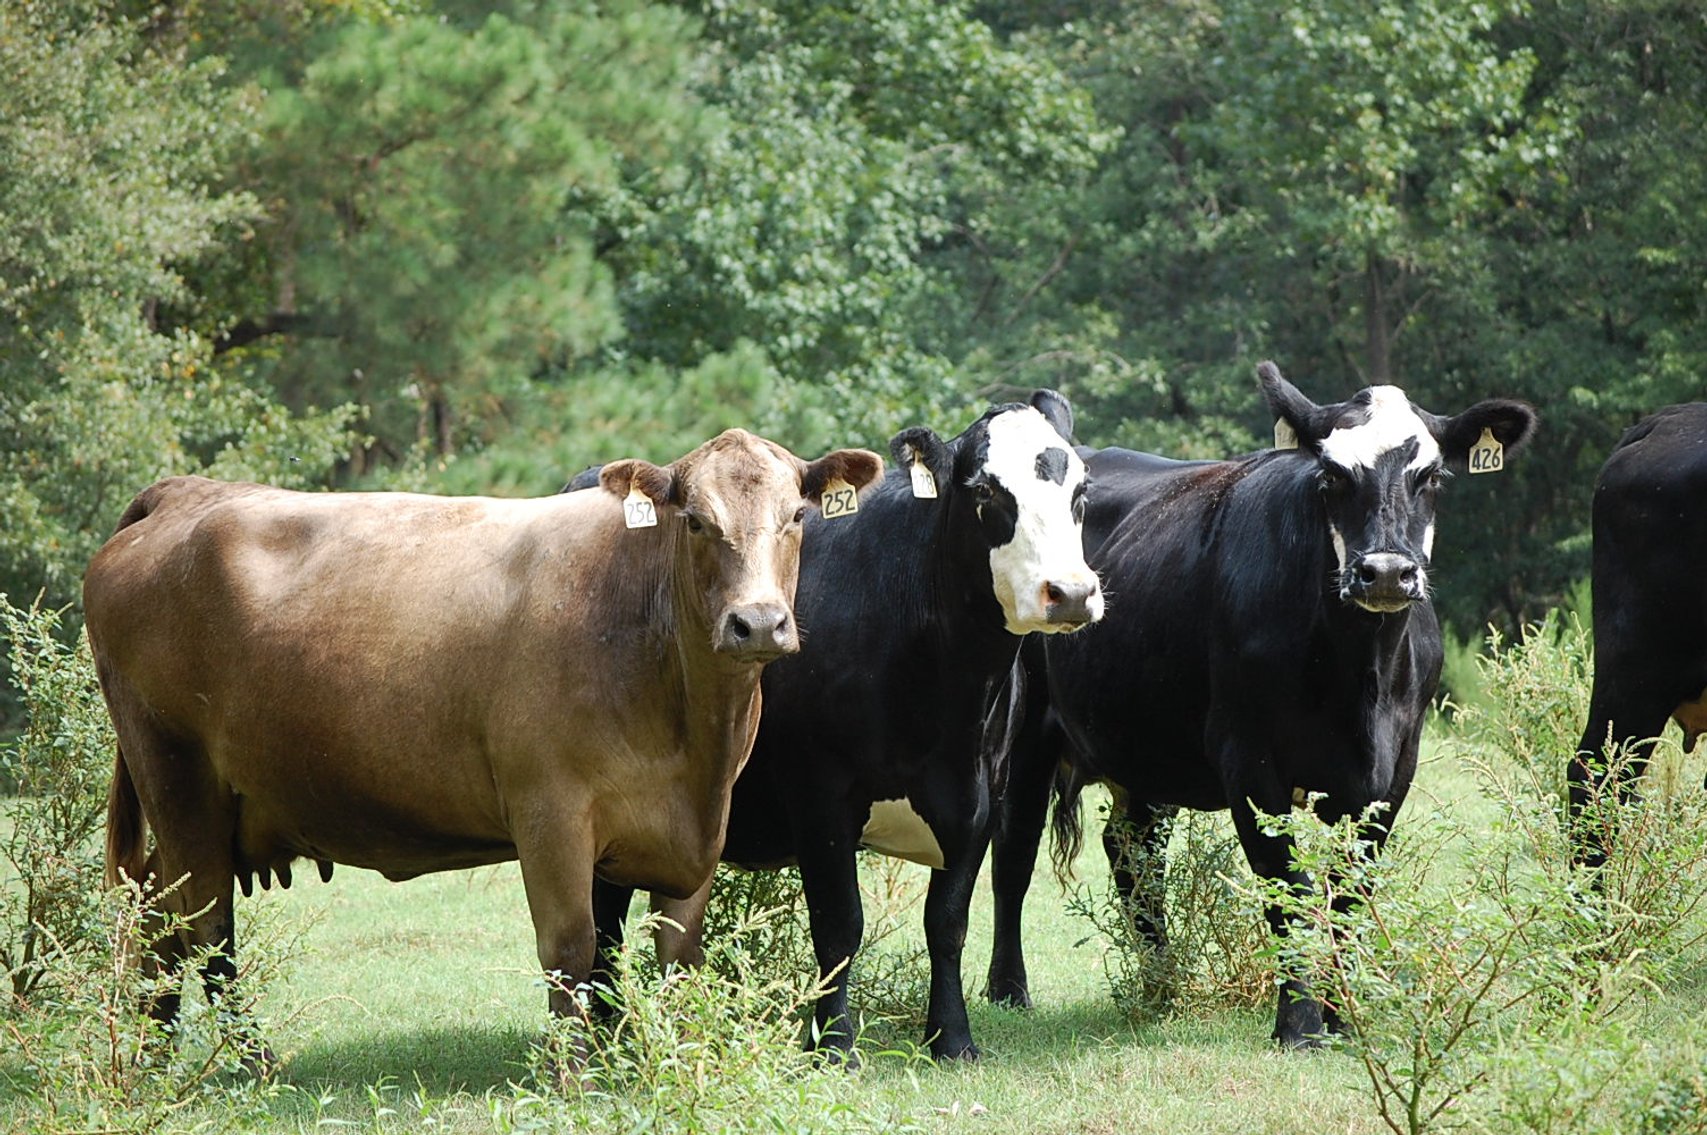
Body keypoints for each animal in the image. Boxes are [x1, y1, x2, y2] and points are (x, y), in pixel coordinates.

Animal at [83, 428, 883, 1043]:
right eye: (693, 520)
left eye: (797, 517)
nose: (757, 623)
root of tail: (189, 493)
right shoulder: (549, 811)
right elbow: (572, 949)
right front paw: (574, 1077)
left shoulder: (692, 831)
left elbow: (676, 955)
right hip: (176, 776)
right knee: (206, 931)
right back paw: (247, 1065)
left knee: (158, 917)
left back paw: (154, 1057)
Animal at [586, 392, 1103, 1062]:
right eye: (986, 492)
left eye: (1081, 491)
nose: (1070, 593)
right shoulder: (821, 800)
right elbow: (839, 927)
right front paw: (832, 1044)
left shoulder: (979, 800)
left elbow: (948, 922)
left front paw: (951, 1038)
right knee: (602, 921)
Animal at [983, 363, 1537, 1048]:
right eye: (1331, 476)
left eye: (1431, 476)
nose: (1384, 573)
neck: (1360, 677)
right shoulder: (1249, 763)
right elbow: (1287, 892)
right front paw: (1299, 1025)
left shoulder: (1393, 771)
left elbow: (1349, 897)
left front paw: (1343, 1017)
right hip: (1025, 731)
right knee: (1014, 853)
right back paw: (1009, 990)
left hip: (1146, 747)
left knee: (1133, 849)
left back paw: (1162, 986)